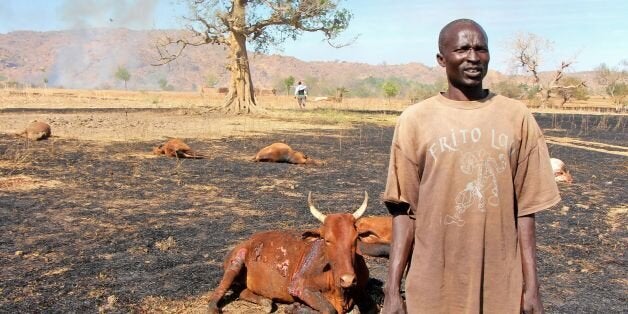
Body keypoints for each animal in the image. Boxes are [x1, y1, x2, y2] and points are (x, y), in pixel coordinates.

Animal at [206, 191, 376, 314]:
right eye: (327, 240)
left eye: (355, 238)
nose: (347, 279)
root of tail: (247, 241)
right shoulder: (299, 286)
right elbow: (329, 309)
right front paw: (296, 307)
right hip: (236, 261)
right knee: (220, 290)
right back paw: (214, 308)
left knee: (241, 291)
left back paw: (266, 302)